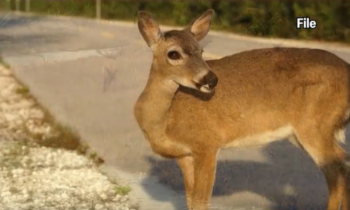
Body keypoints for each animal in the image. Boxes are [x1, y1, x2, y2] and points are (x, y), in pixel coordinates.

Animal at [133, 9, 350, 210]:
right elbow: (189, 200)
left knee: (339, 166)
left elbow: (200, 201)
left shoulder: (207, 143)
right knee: (340, 166)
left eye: (201, 51)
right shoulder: (183, 155)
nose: (211, 79)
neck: (165, 121)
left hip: (316, 124)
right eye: (173, 53)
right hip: (302, 132)